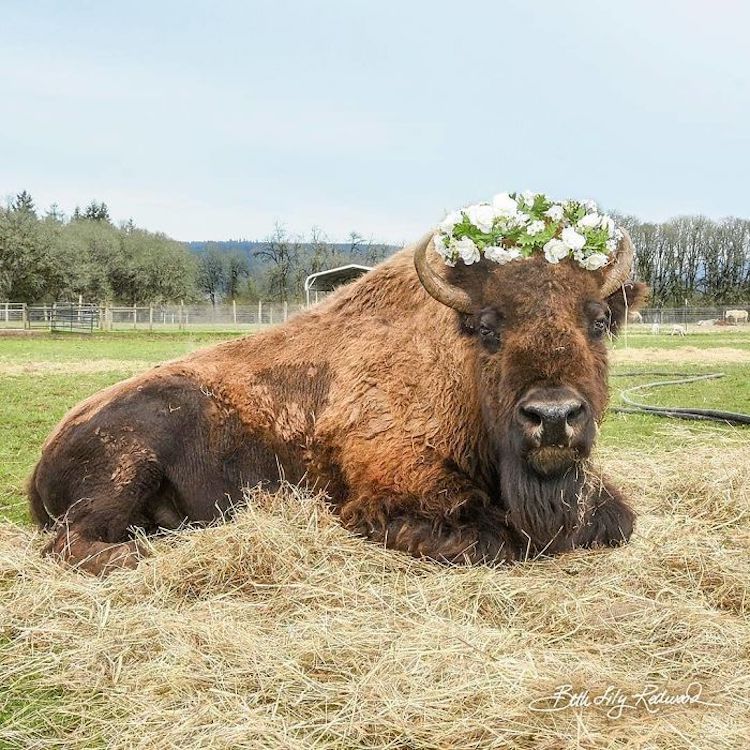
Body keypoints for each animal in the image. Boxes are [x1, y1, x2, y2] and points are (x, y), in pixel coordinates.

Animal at [26, 229, 648, 576]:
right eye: (489, 327)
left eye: (598, 322)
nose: (553, 416)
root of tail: (45, 454)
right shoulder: (395, 486)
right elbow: (491, 537)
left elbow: (617, 517)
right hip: (126, 463)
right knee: (70, 540)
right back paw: (135, 555)